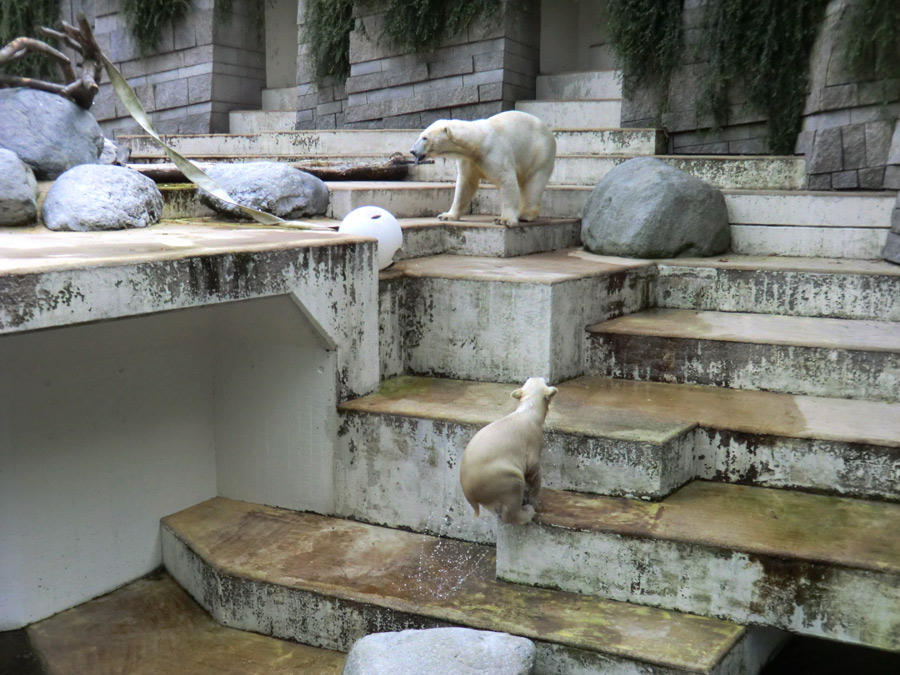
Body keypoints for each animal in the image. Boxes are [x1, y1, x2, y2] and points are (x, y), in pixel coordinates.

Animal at [410, 110, 556, 227]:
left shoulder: (495, 153)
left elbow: (506, 180)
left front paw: (504, 220)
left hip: (540, 153)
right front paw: (446, 215)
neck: (478, 142)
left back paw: (524, 215)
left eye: (425, 138)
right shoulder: (468, 161)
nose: (412, 151)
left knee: (534, 183)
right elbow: (465, 184)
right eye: (420, 135)